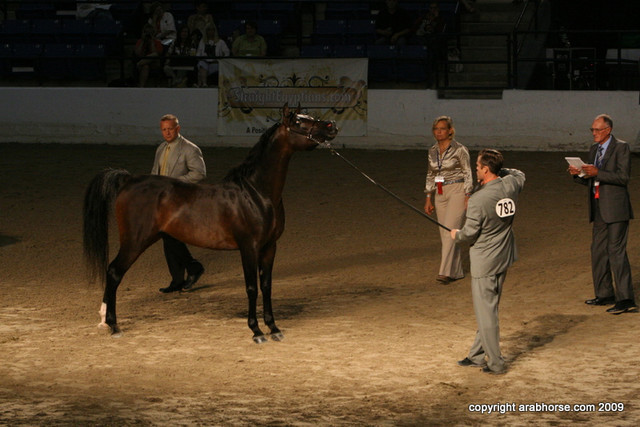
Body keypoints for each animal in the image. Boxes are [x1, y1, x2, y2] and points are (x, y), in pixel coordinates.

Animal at [83, 104, 338, 343]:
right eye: (299, 122)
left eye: (309, 116)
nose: (332, 125)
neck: (257, 192)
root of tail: (129, 180)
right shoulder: (249, 248)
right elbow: (252, 287)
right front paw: (256, 331)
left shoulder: (269, 247)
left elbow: (266, 286)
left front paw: (273, 327)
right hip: (135, 241)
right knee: (114, 272)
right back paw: (113, 325)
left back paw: (105, 321)